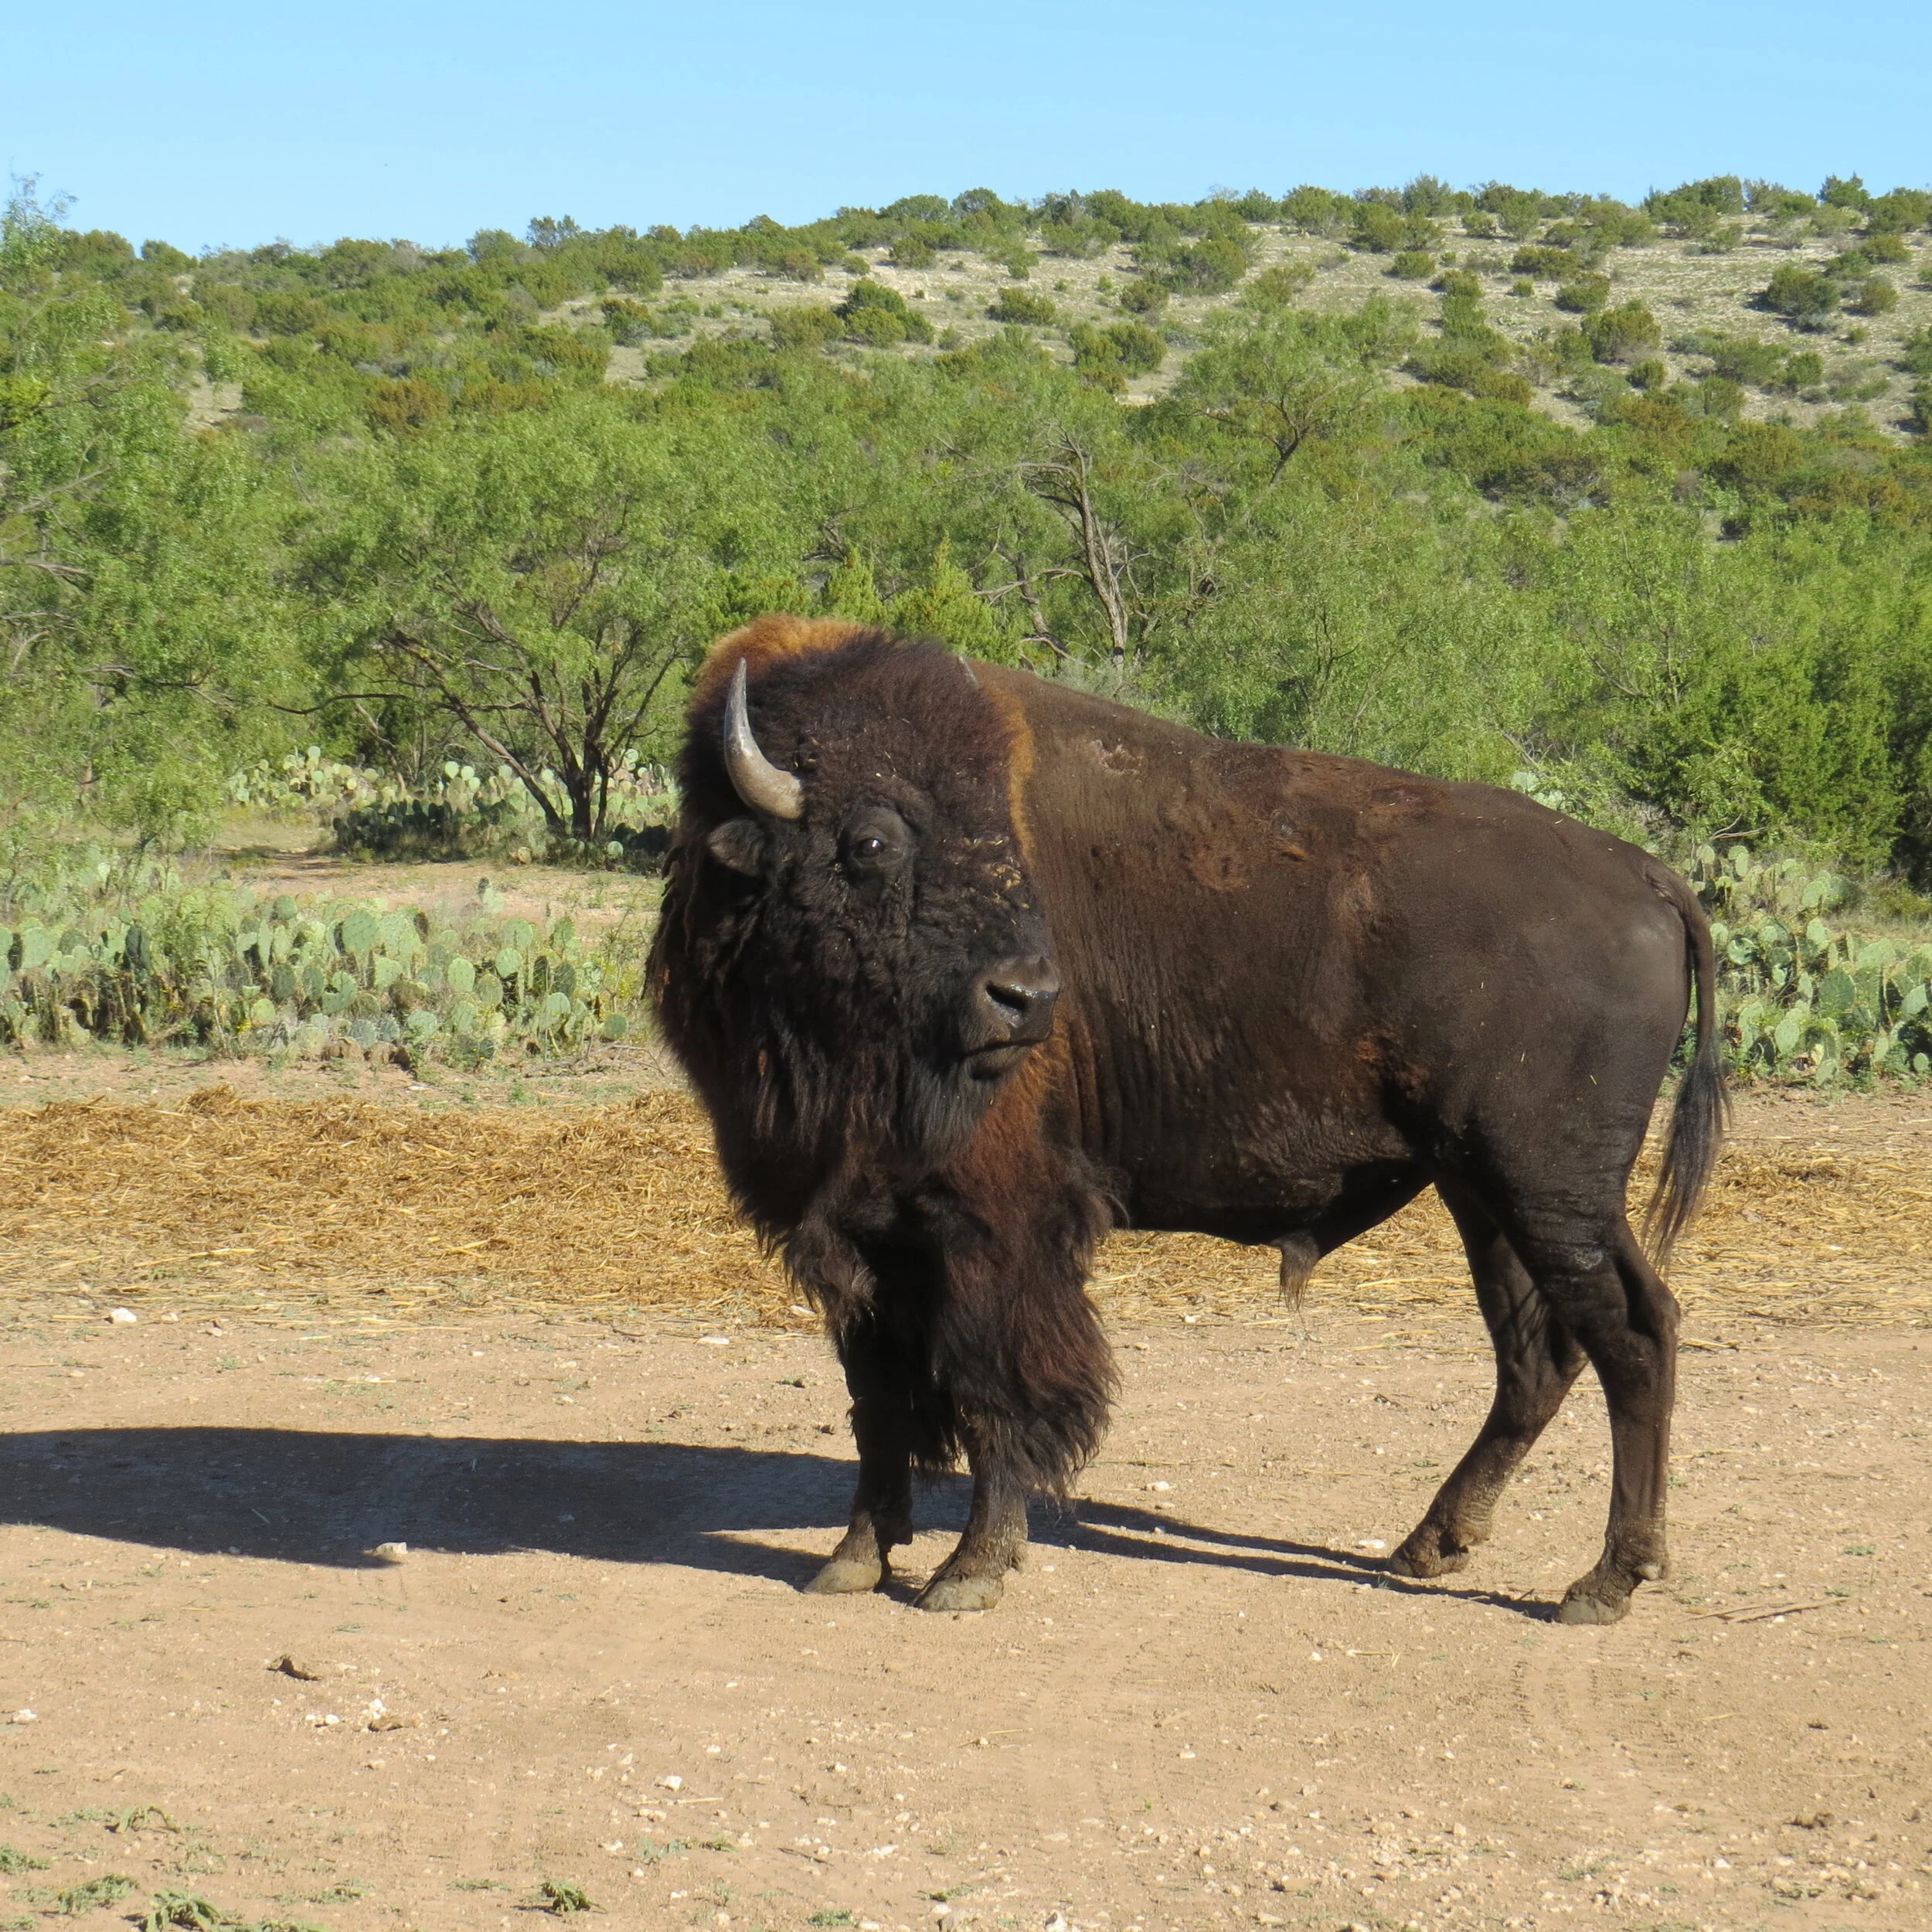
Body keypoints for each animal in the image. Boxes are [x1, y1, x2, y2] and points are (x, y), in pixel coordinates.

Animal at [649, 616, 1725, 1623]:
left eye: (1000, 829)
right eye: (870, 840)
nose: (1026, 998)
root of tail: (1644, 874)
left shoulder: (992, 1230)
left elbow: (997, 1389)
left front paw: (971, 1570)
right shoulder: (846, 1231)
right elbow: (876, 1400)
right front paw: (850, 1561)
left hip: (1545, 1186)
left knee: (1630, 1334)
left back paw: (1603, 1581)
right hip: (1487, 1193)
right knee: (1547, 1352)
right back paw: (1431, 1545)